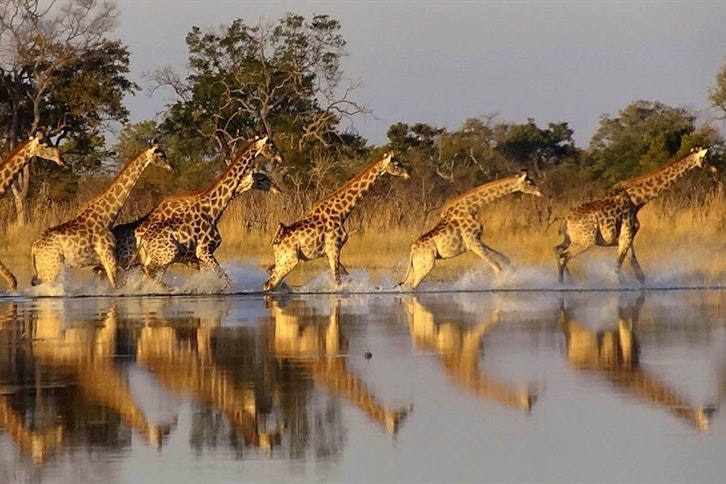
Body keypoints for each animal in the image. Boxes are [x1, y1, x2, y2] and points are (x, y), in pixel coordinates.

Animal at [30, 142, 173, 289]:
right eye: (161, 155)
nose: (171, 168)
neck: (107, 215)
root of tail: (34, 248)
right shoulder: (108, 258)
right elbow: (116, 287)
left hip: (44, 270)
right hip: (51, 269)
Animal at [128, 136, 283, 286]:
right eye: (271, 146)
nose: (278, 190)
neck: (213, 209)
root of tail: (142, 239)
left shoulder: (196, 257)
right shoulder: (203, 251)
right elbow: (225, 279)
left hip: (157, 257)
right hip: (168, 255)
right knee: (147, 272)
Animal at [264, 150, 410, 292]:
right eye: (397, 164)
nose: (408, 175)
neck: (341, 212)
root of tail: (276, 241)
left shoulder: (326, 253)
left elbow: (347, 277)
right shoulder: (333, 248)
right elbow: (338, 282)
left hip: (283, 259)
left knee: (270, 276)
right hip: (291, 259)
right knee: (270, 283)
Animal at [400, 170, 542, 288]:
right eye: (530, 182)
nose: (540, 192)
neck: (471, 208)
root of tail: (412, 250)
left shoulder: (477, 239)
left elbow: (504, 258)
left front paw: (512, 272)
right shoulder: (472, 241)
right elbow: (497, 267)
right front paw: (503, 283)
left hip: (416, 265)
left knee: (407, 285)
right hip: (426, 265)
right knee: (413, 286)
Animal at [555, 147, 709, 284]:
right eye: (704, 158)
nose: (711, 168)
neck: (637, 200)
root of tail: (566, 220)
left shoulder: (626, 237)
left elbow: (639, 274)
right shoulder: (627, 235)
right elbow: (618, 270)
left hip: (570, 239)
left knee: (557, 251)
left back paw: (567, 282)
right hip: (586, 240)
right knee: (563, 256)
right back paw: (564, 285)